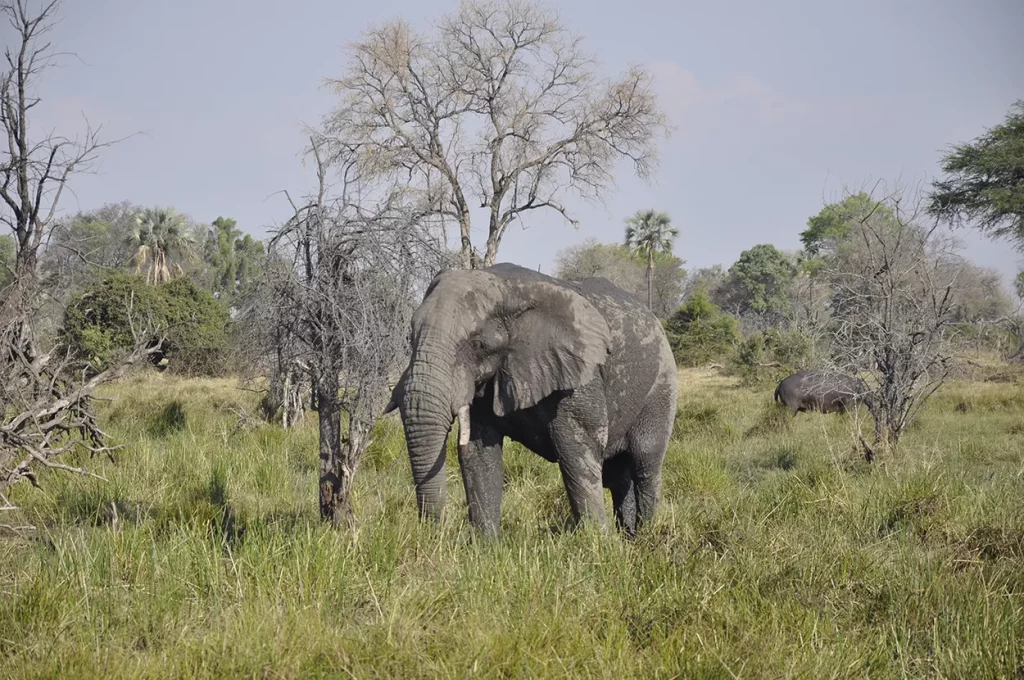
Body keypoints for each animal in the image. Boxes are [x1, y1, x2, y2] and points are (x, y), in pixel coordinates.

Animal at [380, 262, 675, 540]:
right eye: (411, 336)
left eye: (478, 344)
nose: (436, 532)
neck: (507, 289)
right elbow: (478, 453)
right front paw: (486, 548)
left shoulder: (580, 376)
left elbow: (577, 451)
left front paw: (597, 545)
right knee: (619, 476)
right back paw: (629, 537)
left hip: (662, 386)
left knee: (645, 461)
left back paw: (646, 534)